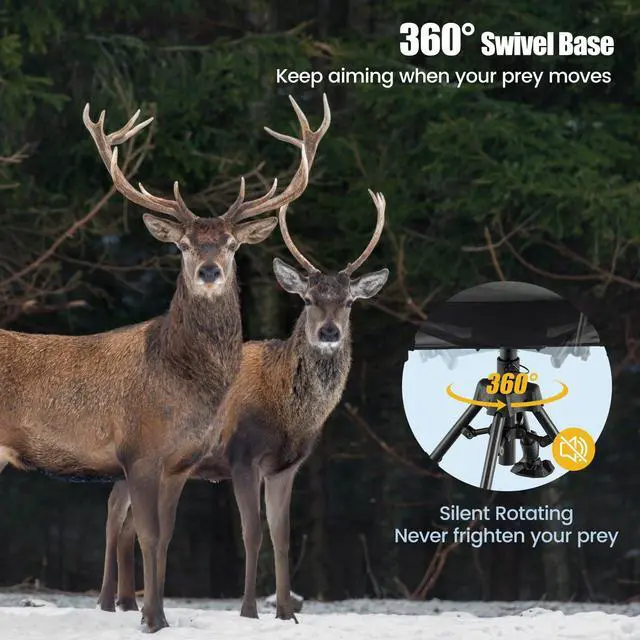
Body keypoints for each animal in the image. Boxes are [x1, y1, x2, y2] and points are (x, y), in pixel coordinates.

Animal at [0, 94, 330, 633]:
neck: (180, 380)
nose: (210, 270)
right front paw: (149, 620)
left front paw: (157, 616)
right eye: (184, 244)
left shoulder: (180, 462)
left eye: (232, 244)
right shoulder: (139, 451)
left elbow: (165, 540)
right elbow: (148, 536)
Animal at [101, 189, 388, 622]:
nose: (329, 332)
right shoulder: (241, 455)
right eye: (307, 299)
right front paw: (250, 610)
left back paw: (129, 602)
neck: (289, 415)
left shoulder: (286, 467)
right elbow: (252, 534)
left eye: (350, 302)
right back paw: (108, 602)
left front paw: (287, 613)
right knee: (114, 513)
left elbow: (282, 537)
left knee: (129, 522)